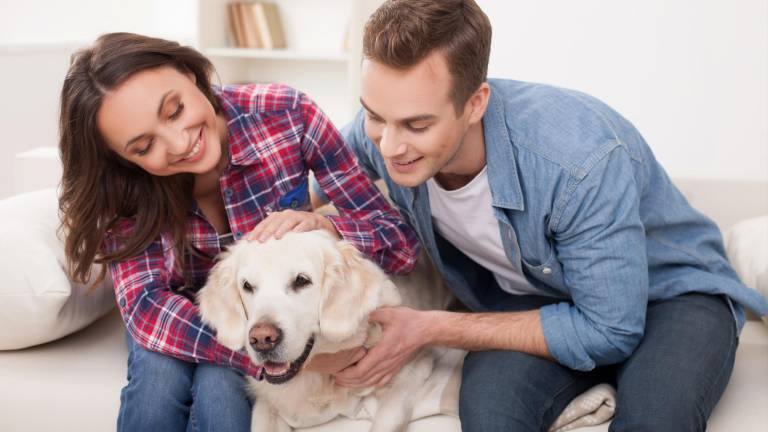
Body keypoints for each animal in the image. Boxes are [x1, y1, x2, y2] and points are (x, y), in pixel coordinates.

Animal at [196, 231, 438, 430]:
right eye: (247, 286)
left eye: (301, 281)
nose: (262, 339)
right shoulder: (268, 401)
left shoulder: (412, 366)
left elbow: (386, 420)